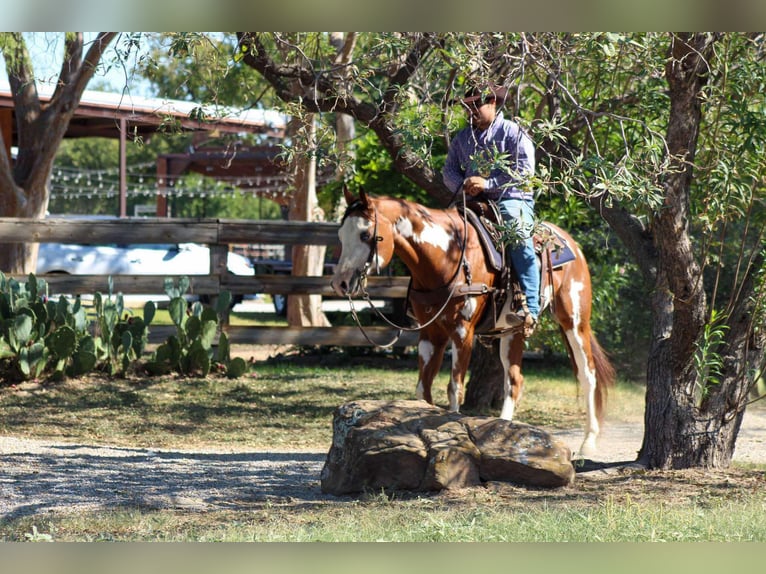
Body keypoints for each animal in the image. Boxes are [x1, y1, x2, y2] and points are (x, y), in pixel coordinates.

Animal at [330, 187, 615, 456]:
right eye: (341, 235)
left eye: (365, 234)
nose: (339, 283)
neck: (446, 256)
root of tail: (571, 244)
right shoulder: (431, 333)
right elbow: (423, 390)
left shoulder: (462, 332)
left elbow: (454, 387)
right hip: (513, 330)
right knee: (514, 380)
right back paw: (503, 429)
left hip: (574, 322)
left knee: (587, 375)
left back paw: (588, 442)